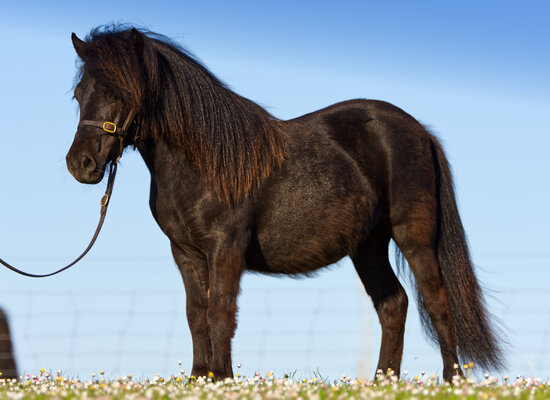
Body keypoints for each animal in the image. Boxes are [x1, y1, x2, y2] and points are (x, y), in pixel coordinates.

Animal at [66, 25, 504, 382]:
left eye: (121, 92)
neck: (204, 160)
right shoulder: (185, 252)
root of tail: (420, 131)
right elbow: (196, 314)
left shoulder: (225, 247)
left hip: (414, 236)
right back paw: (383, 381)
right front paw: (199, 378)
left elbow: (219, 312)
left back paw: (452, 380)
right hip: (368, 245)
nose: (80, 164)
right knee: (393, 304)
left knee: (437, 300)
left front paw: (222, 380)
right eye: (79, 93)